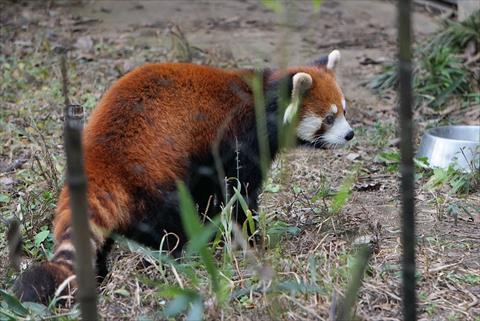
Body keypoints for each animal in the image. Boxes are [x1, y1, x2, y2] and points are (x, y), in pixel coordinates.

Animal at [13, 49, 354, 302]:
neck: (262, 97)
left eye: (345, 111)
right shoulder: (237, 139)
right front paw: (252, 237)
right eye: (328, 118)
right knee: (166, 220)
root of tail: (99, 158)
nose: (350, 134)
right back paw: (179, 252)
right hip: (152, 179)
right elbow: (237, 193)